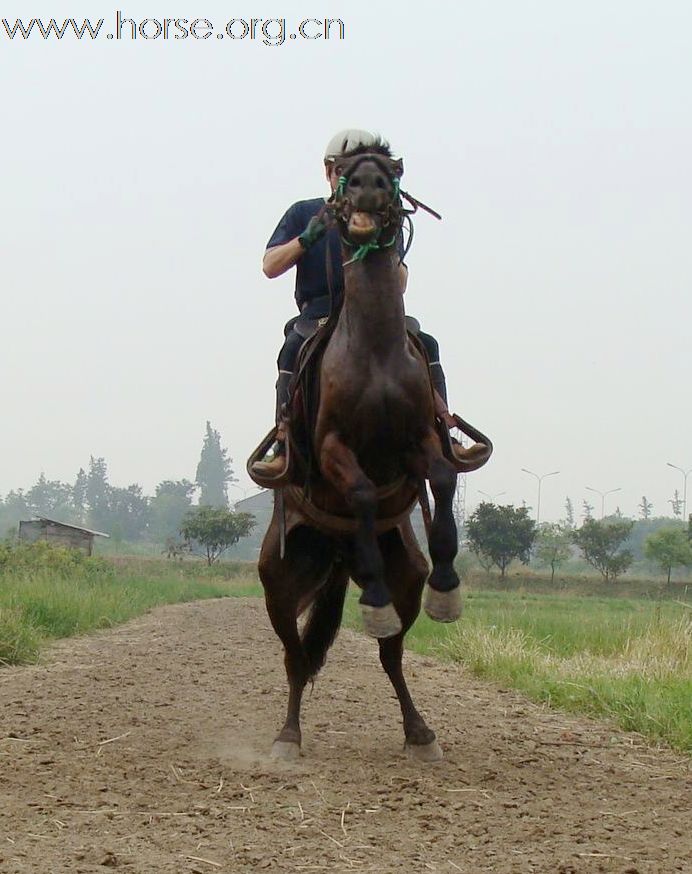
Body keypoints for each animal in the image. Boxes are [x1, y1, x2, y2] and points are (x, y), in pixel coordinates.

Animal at [251, 153, 490, 760]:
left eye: (390, 168)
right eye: (345, 171)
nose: (366, 188)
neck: (374, 349)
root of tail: (338, 554)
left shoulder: (419, 439)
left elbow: (443, 478)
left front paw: (448, 590)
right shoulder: (333, 445)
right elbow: (359, 490)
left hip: (403, 576)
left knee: (391, 654)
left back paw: (420, 732)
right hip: (279, 583)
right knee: (295, 656)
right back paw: (287, 736)